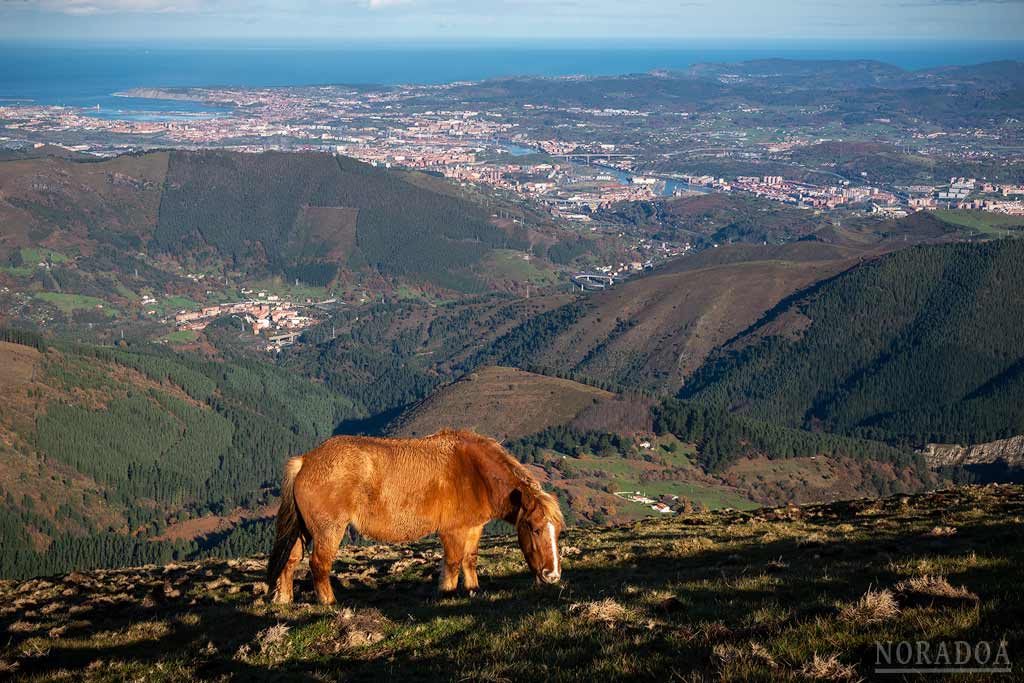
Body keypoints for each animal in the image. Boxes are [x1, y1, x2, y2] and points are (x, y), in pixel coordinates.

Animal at [268, 428, 565, 602]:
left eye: (557, 532)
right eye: (535, 528)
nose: (552, 576)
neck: (475, 472)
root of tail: (306, 460)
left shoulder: (474, 527)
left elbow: (469, 559)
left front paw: (473, 590)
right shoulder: (453, 531)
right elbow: (453, 562)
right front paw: (446, 593)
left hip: (303, 529)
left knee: (290, 560)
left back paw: (284, 600)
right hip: (328, 530)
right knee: (319, 564)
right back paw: (329, 602)